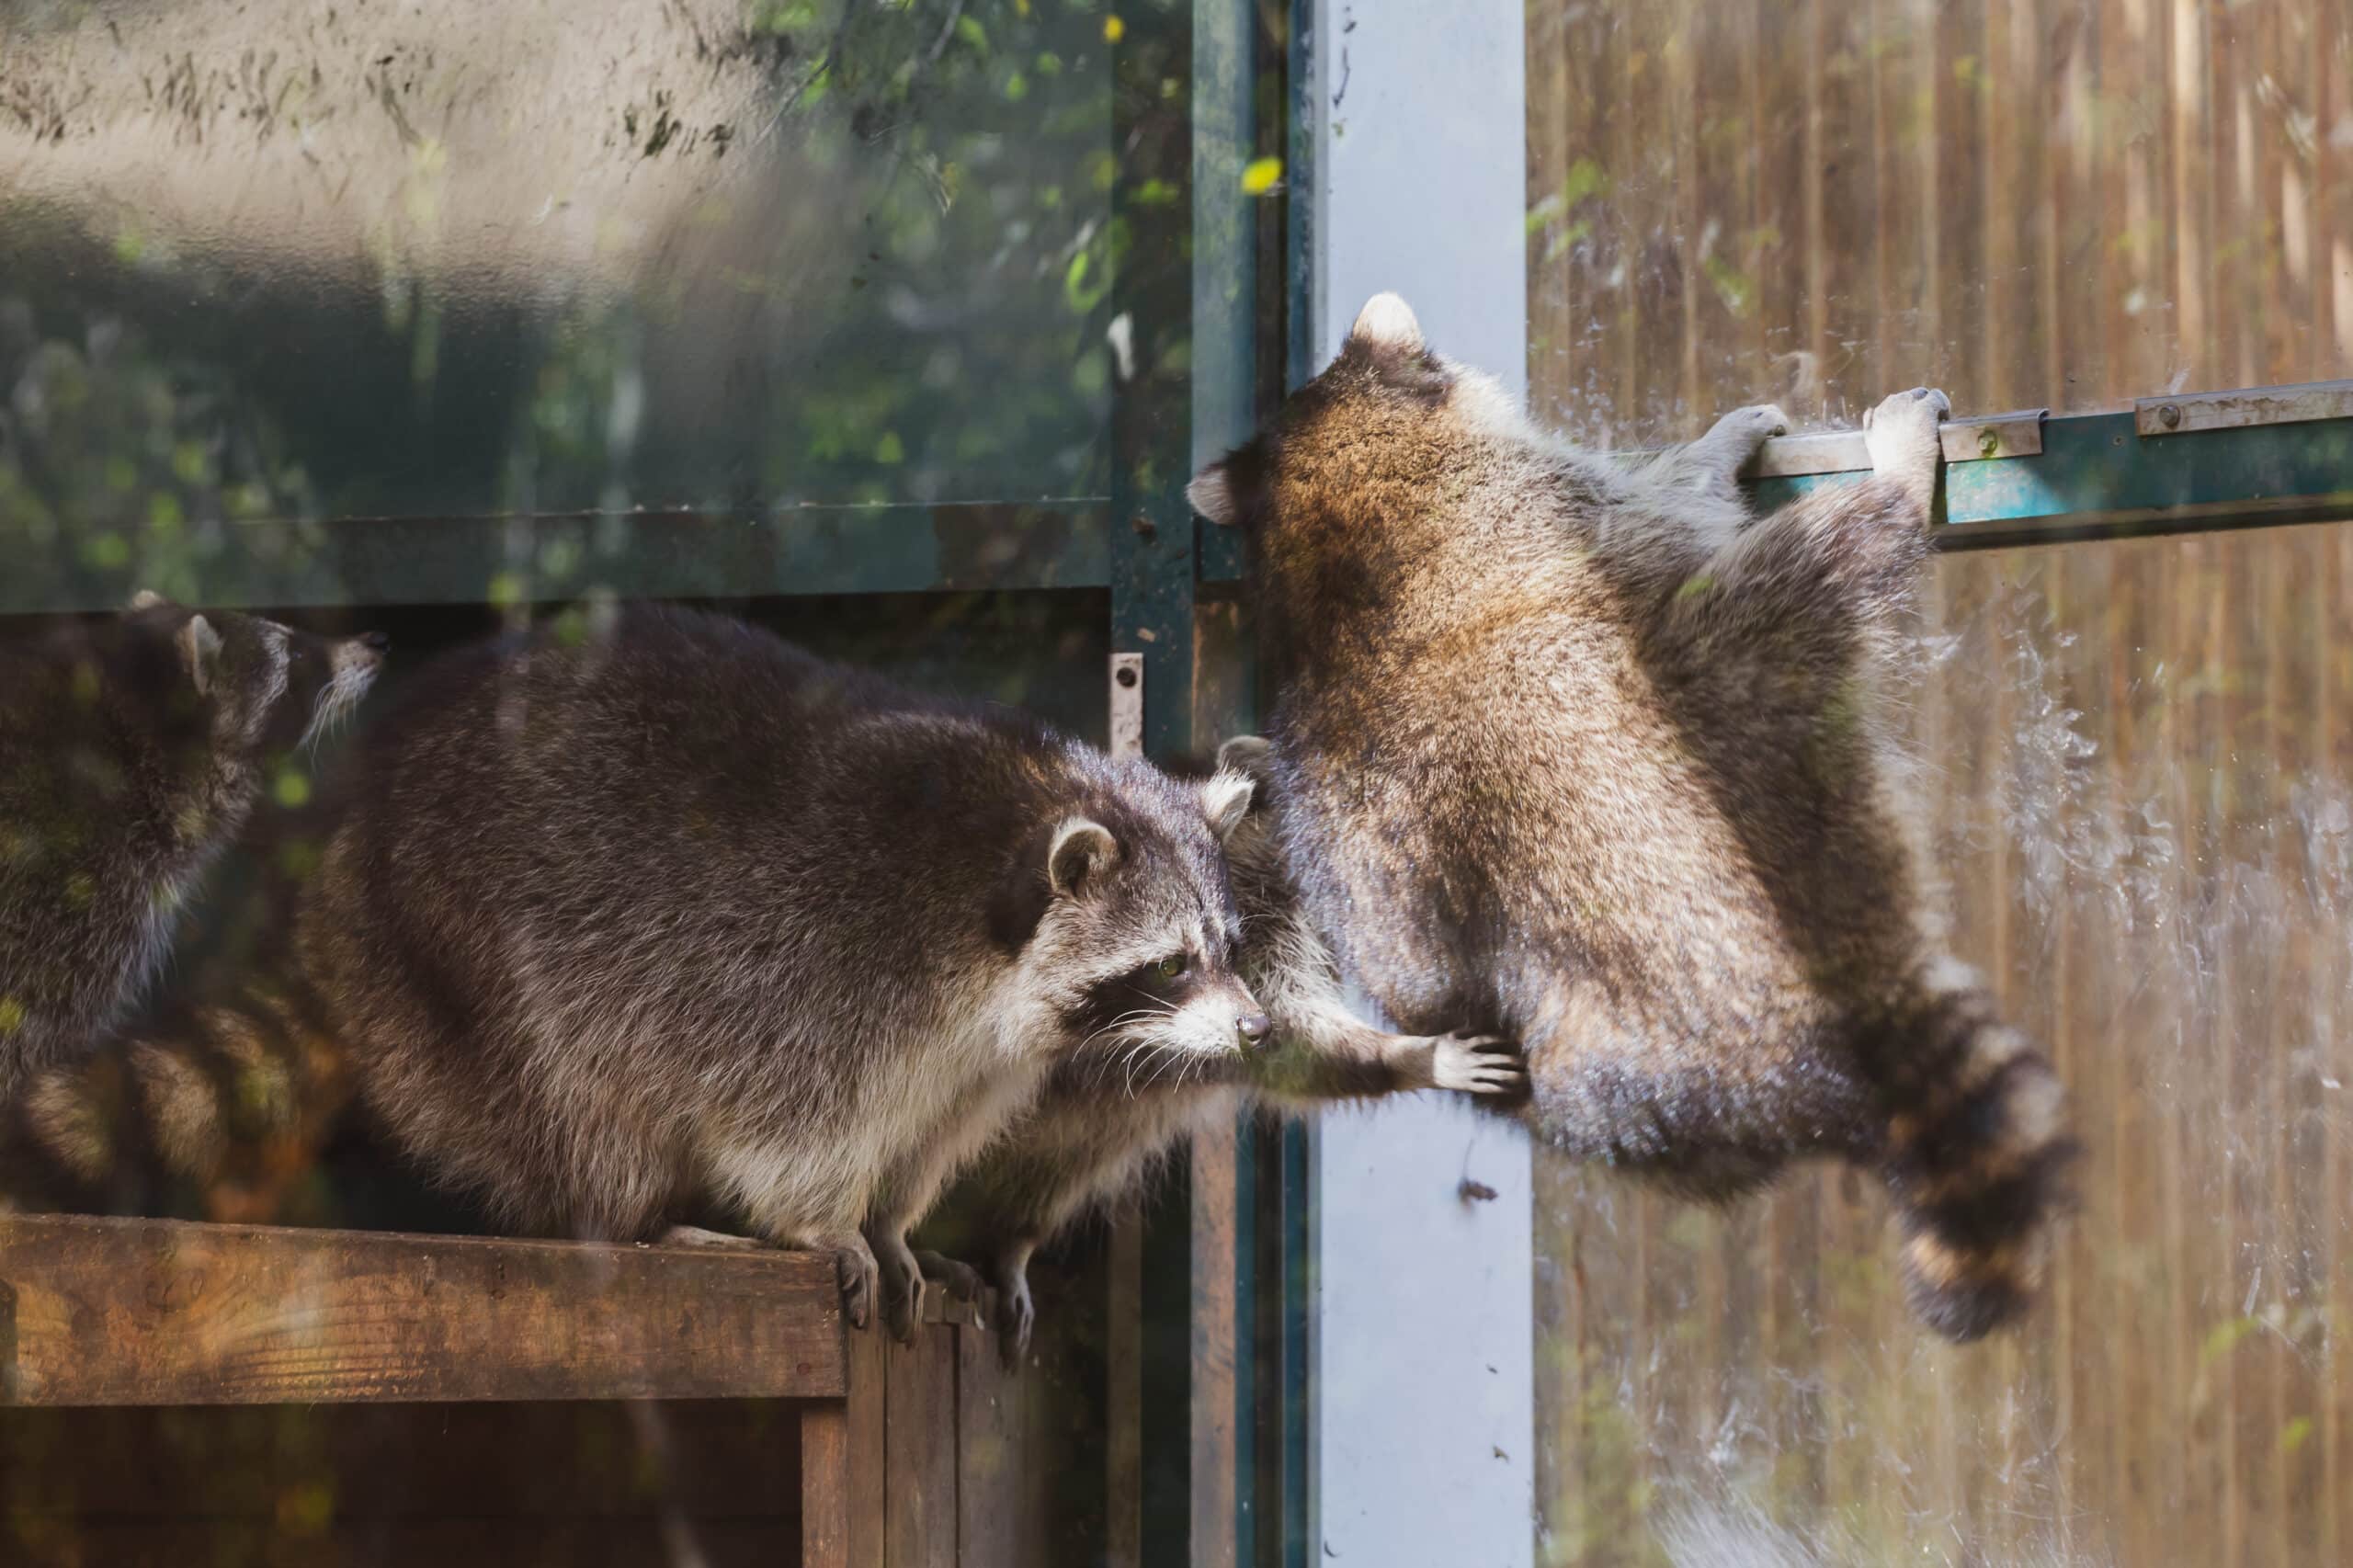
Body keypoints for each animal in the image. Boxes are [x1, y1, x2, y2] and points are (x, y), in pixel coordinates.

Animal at [1195, 296, 2080, 1346]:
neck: (1338, 509)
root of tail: (1803, 1036)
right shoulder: (1573, 505)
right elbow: (1679, 499)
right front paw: (1719, 447)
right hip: (1756, 732)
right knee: (1800, 577)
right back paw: (1894, 485)